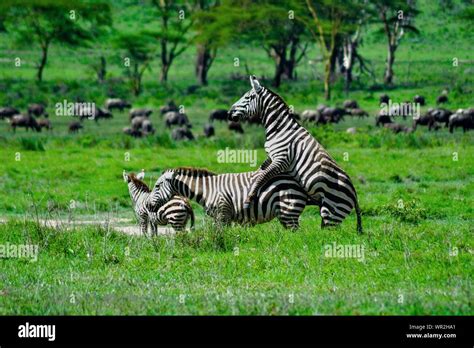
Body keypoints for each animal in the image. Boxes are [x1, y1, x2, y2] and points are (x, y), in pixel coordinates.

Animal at [144, 167, 314, 230]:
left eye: (157, 186)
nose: (148, 205)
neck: (208, 191)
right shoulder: (224, 217)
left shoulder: (222, 213)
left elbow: (220, 236)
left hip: (288, 210)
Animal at [228, 76, 362, 234]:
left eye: (247, 97)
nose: (229, 113)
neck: (280, 129)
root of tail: (354, 193)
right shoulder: (271, 157)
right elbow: (260, 170)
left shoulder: (281, 159)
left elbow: (262, 176)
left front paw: (249, 198)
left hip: (331, 212)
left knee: (330, 234)